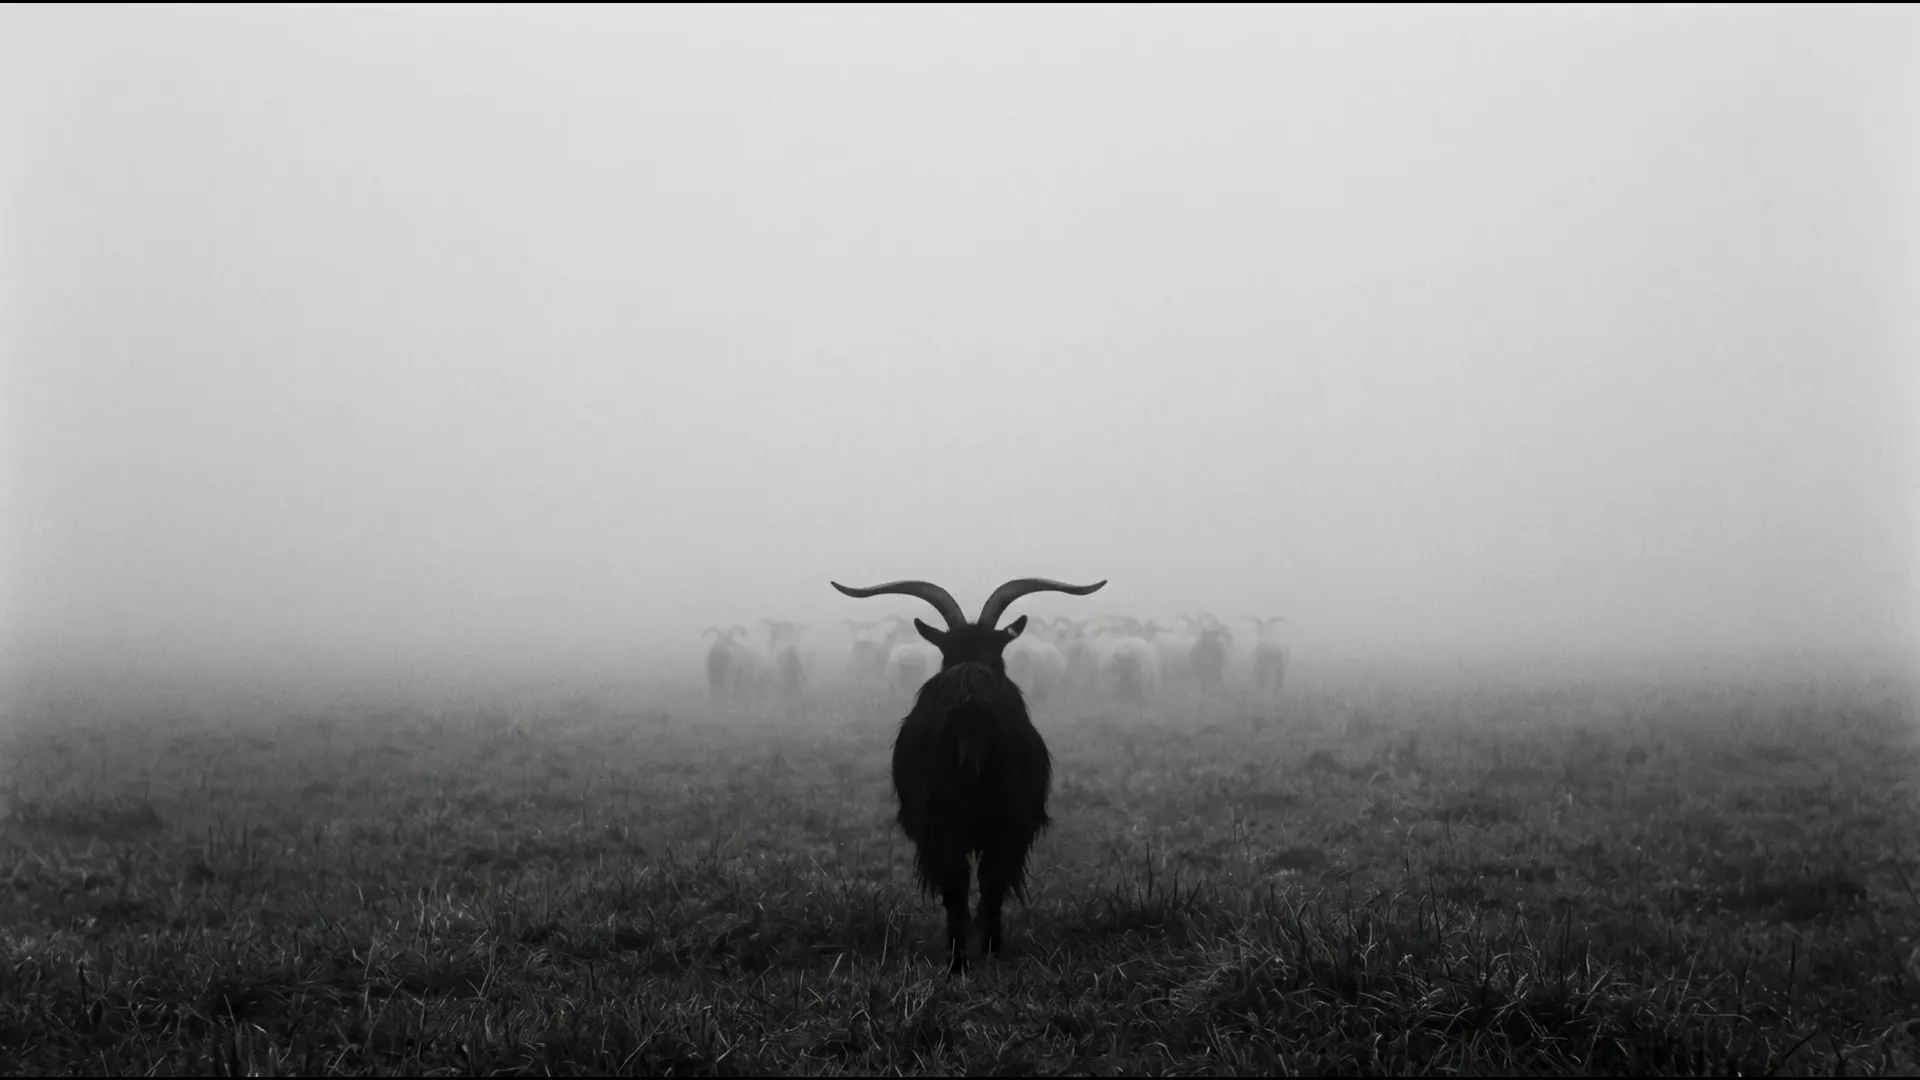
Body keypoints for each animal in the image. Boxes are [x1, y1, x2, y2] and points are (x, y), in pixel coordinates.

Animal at [831, 576, 1105, 972]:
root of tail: (971, 707)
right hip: (997, 814)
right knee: (984, 876)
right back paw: (979, 950)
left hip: (946, 816)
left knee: (964, 878)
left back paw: (962, 956)